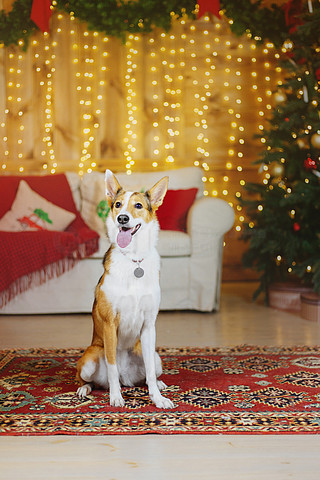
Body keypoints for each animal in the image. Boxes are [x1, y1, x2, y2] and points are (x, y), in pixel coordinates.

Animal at [76, 170, 174, 408]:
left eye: (138, 205)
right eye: (118, 204)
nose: (122, 218)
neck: (133, 259)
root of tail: (126, 378)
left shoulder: (149, 326)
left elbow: (149, 373)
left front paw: (158, 399)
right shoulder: (110, 324)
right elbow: (112, 367)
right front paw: (116, 397)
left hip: (156, 356)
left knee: (150, 372)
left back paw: (159, 385)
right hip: (90, 358)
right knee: (88, 379)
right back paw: (85, 389)